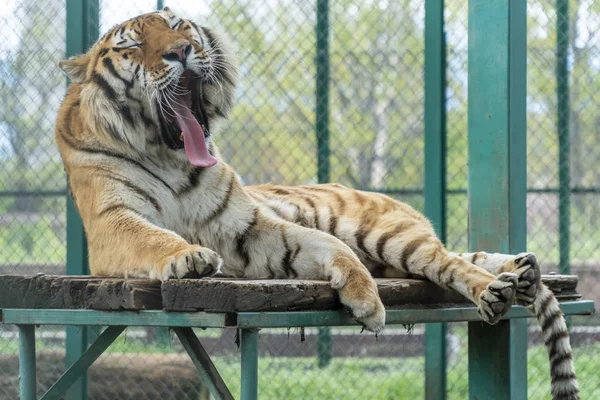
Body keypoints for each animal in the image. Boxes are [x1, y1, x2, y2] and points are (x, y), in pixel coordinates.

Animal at [55, 7, 576, 400]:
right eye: (130, 46)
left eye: (178, 25)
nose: (180, 51)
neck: (171, 155)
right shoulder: (114, 222)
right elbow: (154, 236)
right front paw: (189, 256)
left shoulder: (247, 225)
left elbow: (324, 244)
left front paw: (366, 301)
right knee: (450, 256)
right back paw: (518, 273)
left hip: (387, 235)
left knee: (446, 259)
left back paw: (503, 283)